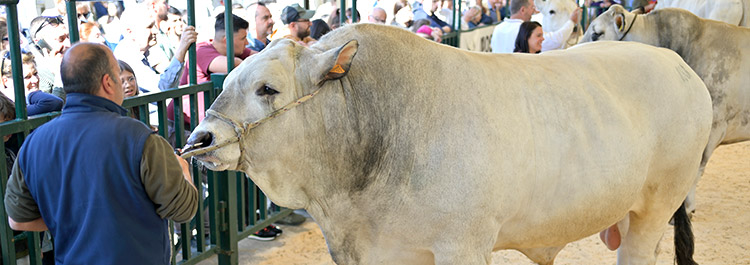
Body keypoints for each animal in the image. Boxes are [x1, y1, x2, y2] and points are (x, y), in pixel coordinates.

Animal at [185, 23, 712, 262]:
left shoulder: (463, 246)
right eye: (229, 78)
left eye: (267, 88)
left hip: (655, 208)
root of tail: (680, 66)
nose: (199, 138)